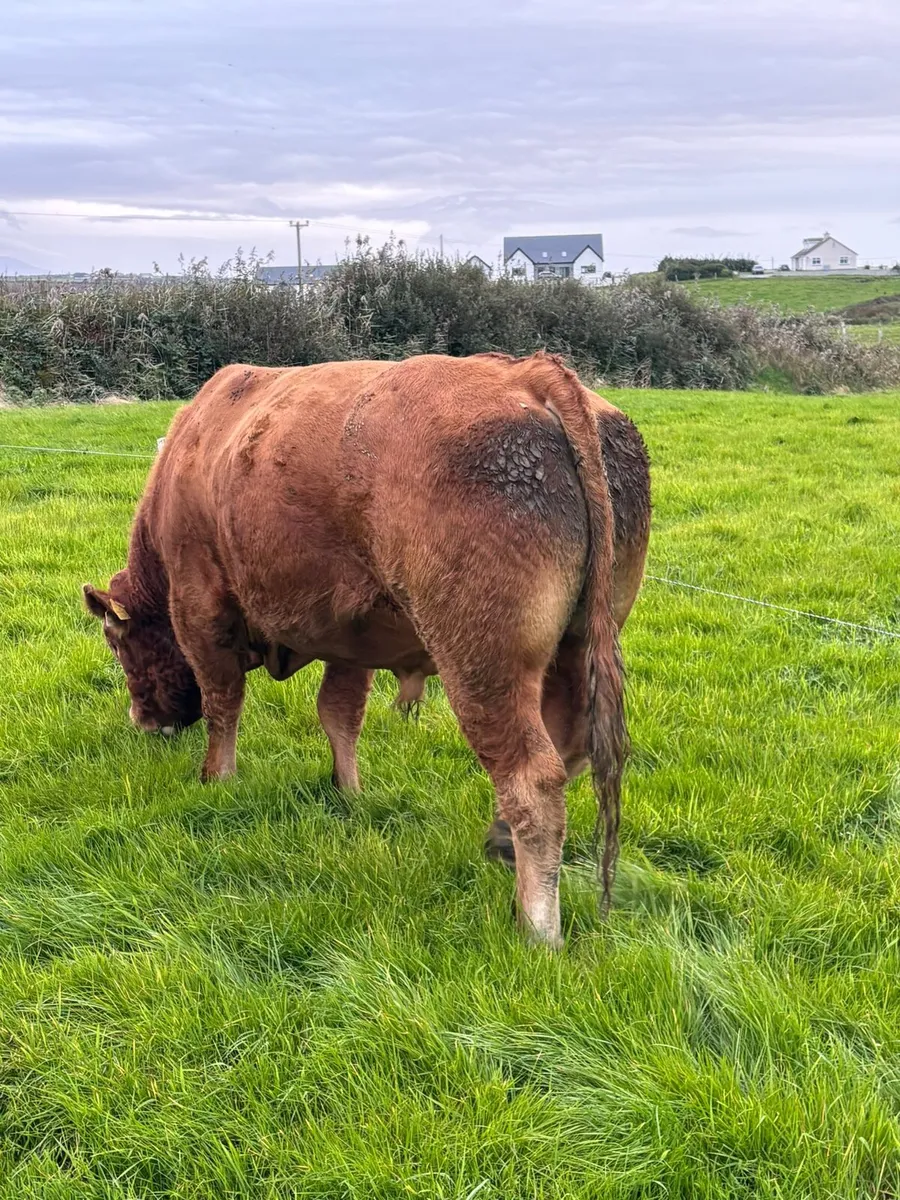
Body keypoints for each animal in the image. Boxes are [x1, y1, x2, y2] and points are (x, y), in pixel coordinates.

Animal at [83, 352, 650, 947]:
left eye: (116, 643)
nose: (142, 719)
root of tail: (530, 375)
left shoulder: (201, 610)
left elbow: (223, 704)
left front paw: (217, 778)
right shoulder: (349, 641)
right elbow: (339, 714)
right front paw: (347, 793)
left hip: (483, 666)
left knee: (533, 780)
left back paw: (538, 929)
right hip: (577, 650)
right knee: (572, 747)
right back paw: (500, 845)